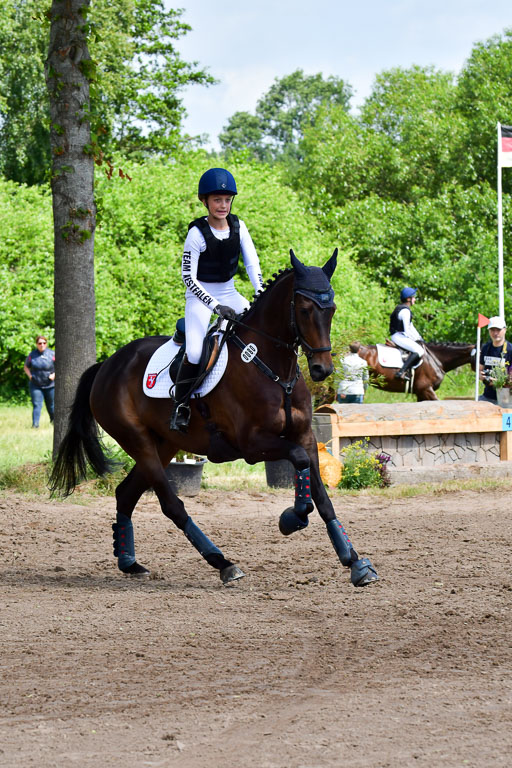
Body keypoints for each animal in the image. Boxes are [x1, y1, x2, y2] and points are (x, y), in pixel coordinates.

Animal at [50, 250, 378, 589]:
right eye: (303, 309)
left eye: (331, 309)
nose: (322, 370)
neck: (274, 370)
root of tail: (107, 365)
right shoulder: (253, 444)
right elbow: (299, 464)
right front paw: (293, 517)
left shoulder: (305, 437)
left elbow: (323, 498)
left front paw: (355, 562)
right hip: (137, 441)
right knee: (172, 505)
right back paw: (222, 562)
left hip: (164, 445)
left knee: (126, 494)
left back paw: (129, 562)